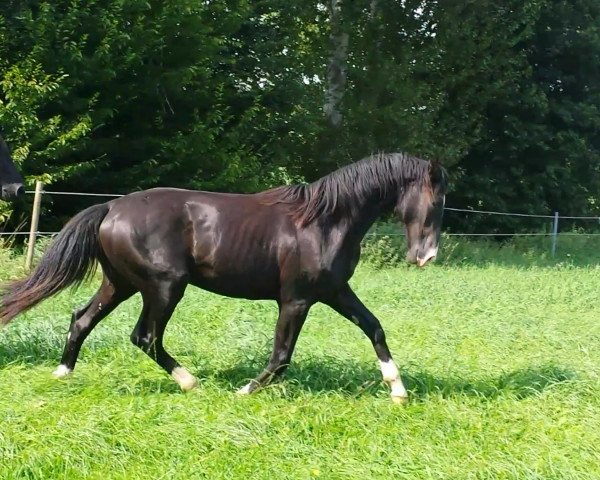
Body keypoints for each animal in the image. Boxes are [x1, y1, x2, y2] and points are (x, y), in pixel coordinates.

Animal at [0, 153, 448, 402]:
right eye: (437, 199)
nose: (426, 256)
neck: (325, 221)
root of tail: (110, 207)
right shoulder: (296, 300)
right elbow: (281, 356)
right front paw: (245, 391)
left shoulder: (335, 291)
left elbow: (374, 327)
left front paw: (398, 390)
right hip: (164, 287)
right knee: (145, 337)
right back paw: (190, 382)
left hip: (121, 284)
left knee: (82, 319)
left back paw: (62, 373)